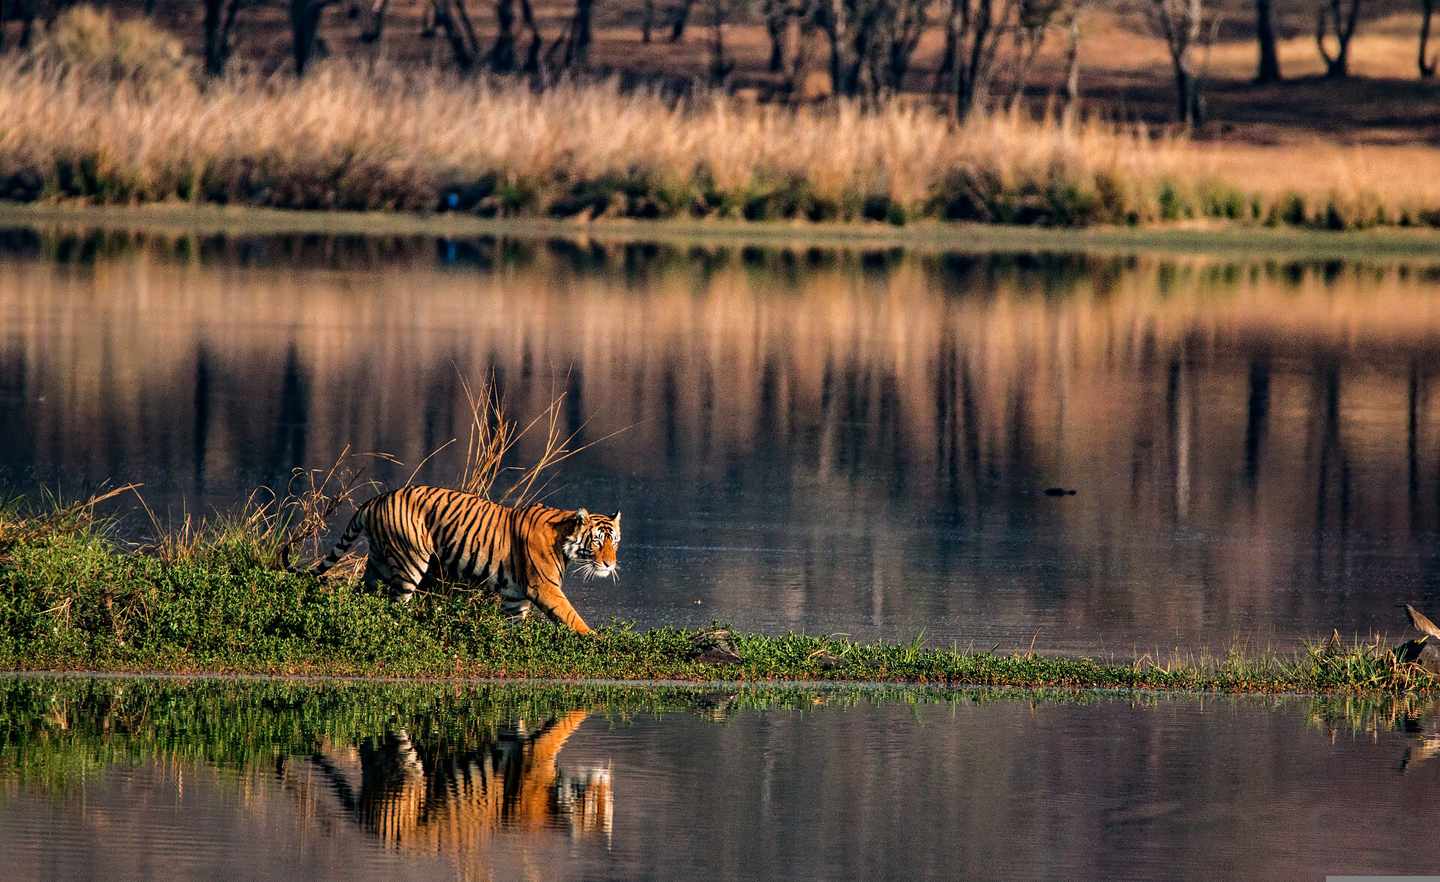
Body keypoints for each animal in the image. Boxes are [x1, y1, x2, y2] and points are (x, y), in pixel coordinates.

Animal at [303, 485, 620, 634]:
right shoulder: (545, 588)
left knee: (362, 596)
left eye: (614, 541)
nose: (610, 564)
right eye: (597, 542)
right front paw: (596, 639)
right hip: (410, 562)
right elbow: (572, 618)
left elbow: (514, 628)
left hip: (377, 563)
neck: (564, 538)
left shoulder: (516, 597)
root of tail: (375, 500)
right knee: (395, 605)